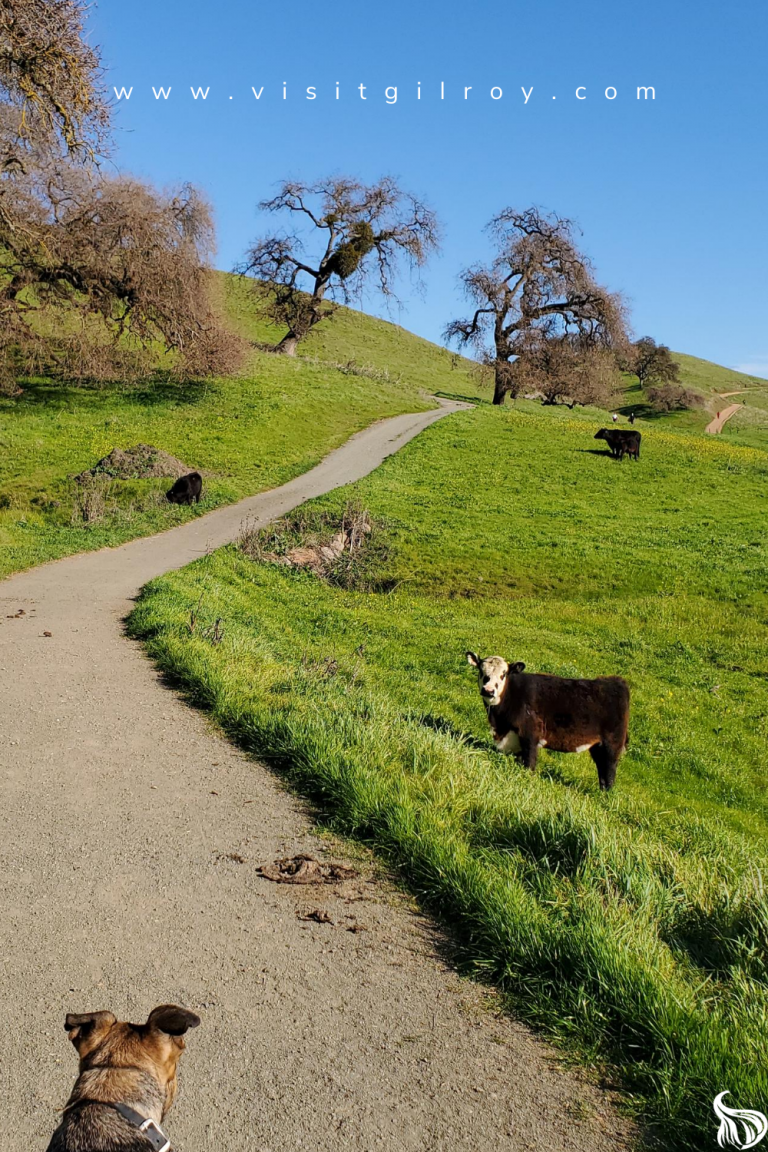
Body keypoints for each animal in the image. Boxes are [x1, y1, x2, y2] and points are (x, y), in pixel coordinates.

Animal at [465, 654, 626, 787]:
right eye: (481, 671)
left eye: (503, 674)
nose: (488, 690)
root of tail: (616, 682)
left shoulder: (530, 734)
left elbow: (529, 761)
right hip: (598, 746)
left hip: (612, 745)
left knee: (609, 771)